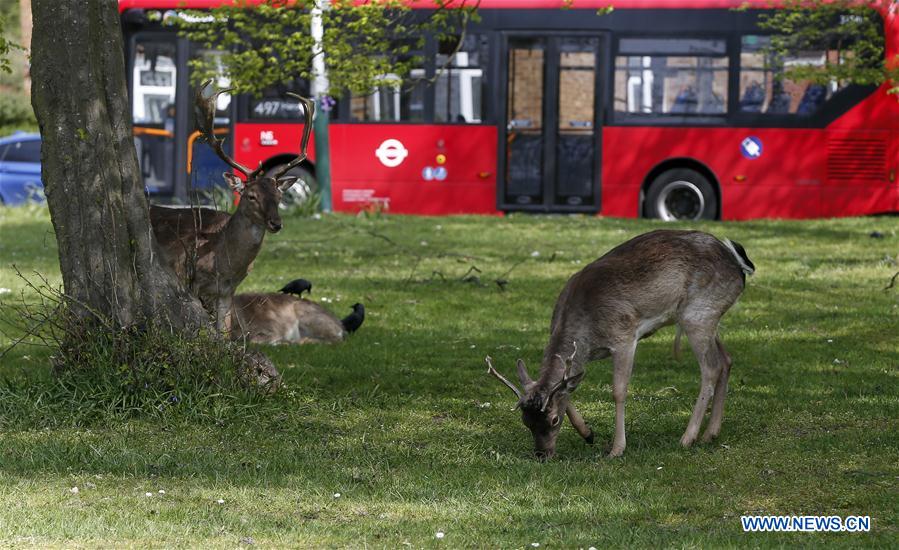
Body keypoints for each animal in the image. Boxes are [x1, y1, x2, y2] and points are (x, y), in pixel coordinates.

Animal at [149, 81, 314, 332]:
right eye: (251, 196)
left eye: (279, 196)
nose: (276, 223)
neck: (224, 262)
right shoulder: (190, 281)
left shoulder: (227, 291)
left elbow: (224, 333)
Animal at [486, 230, 752, 462]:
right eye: (526, 422)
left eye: (553, 420)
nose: (542, 455)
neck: (585, 333)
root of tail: (740, 267)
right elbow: (568, 388)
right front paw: (588, 433)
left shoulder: (624, 337)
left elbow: (618, 391)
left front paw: (616, 449)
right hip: (708, 317)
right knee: (727, 359)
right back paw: (711, 433)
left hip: (698, 314)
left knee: (711, 368)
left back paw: (688, 438)